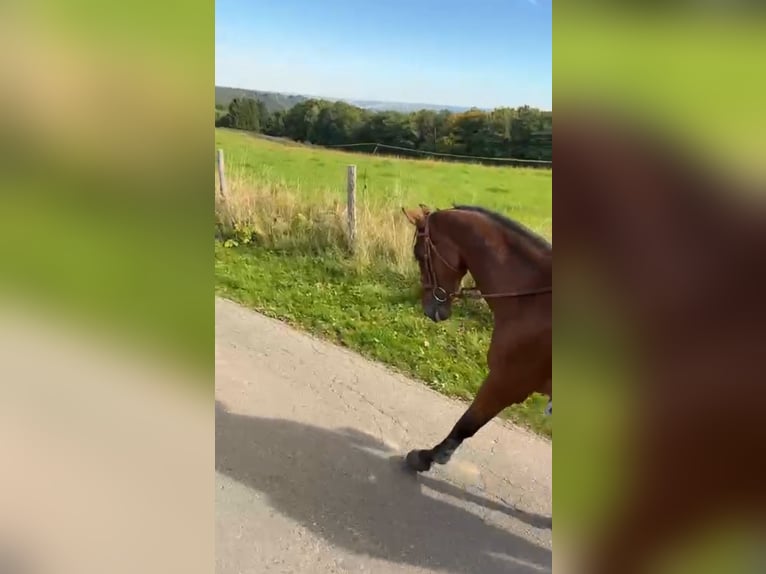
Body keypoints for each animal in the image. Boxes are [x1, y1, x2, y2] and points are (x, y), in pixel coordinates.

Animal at [400, 204, 552, 473]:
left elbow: (468, 423)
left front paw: (428, 456)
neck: (533, 299)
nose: (429, 308)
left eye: (419, 254)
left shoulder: (507, 382)